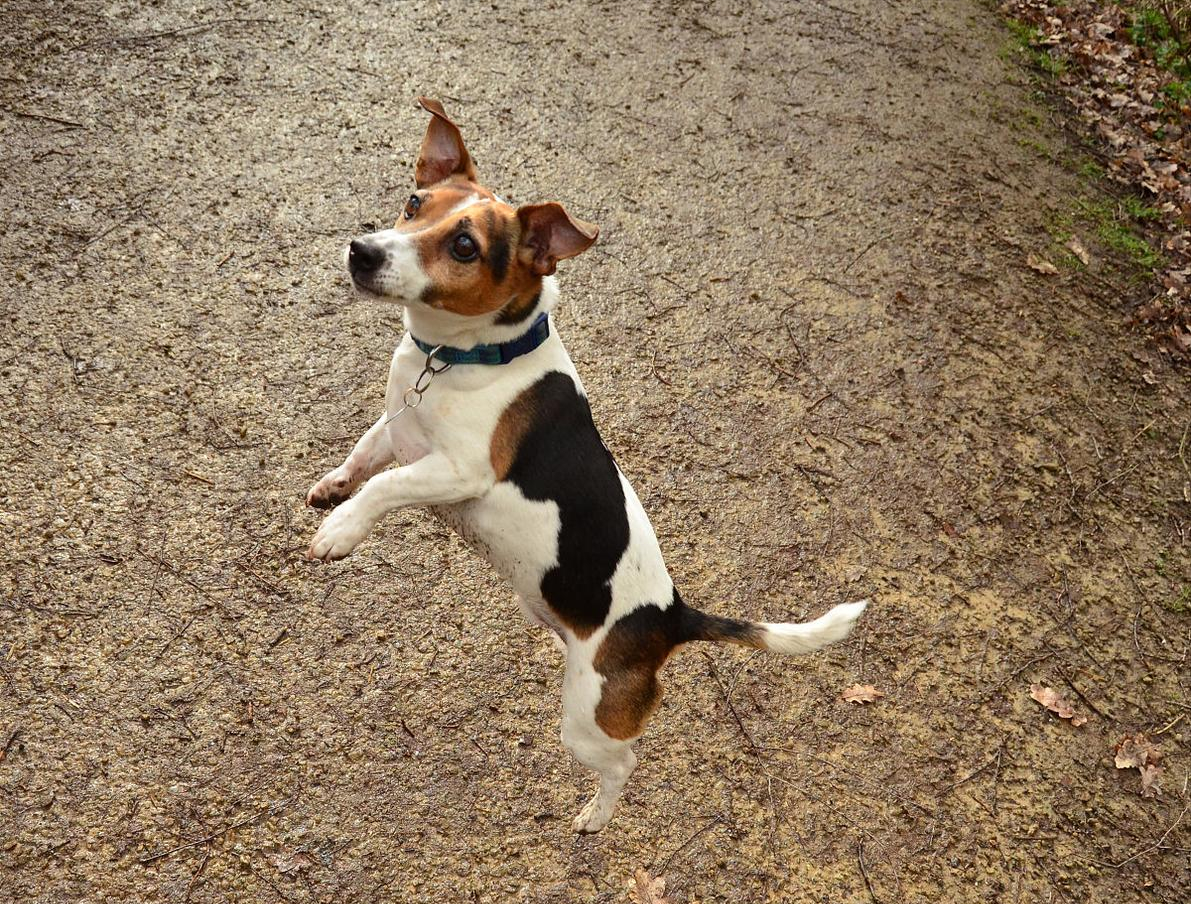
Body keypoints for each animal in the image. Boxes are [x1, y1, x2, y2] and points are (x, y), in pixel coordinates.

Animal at [307, 98, 867, 833]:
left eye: (464, 246)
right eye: (413, 203)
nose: (362, 250)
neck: (461, 357)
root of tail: (671, 617)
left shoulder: (461, 469)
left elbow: (385, 486)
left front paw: (340, 531)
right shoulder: (398, 423)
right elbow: (363, 457)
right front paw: (331, 491)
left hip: (586, 719)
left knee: (623, 763)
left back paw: (595, 816)